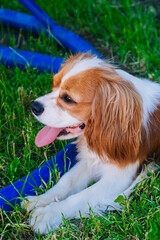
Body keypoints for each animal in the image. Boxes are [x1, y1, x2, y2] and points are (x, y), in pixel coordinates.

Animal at [21, 53, 160, 234]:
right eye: (54, 84)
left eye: (68, 99)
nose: (34, 106)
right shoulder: (92, 160)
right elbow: (66, 181)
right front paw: (40, 200)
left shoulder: (118, 178)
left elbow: (79, 197)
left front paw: (47, 214)